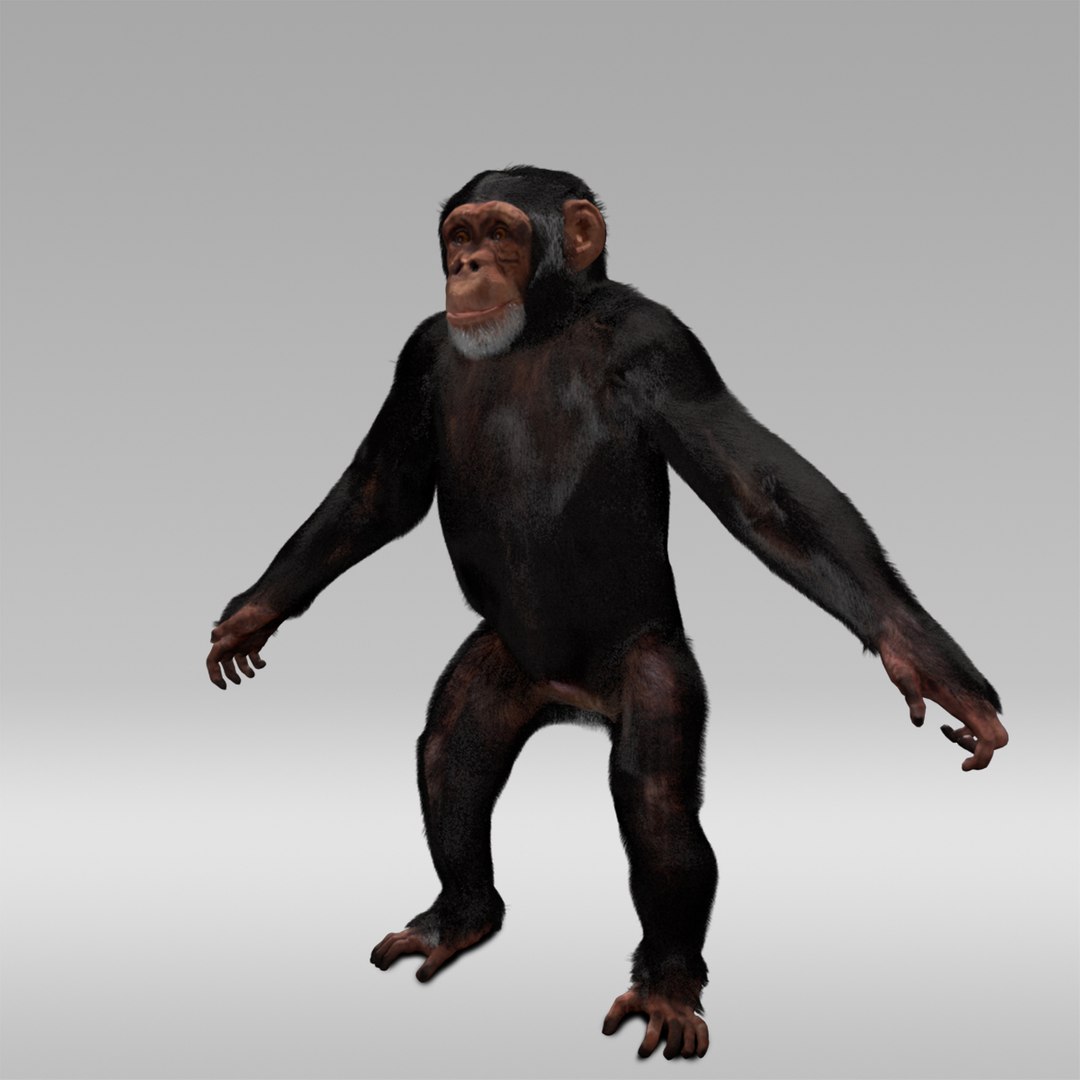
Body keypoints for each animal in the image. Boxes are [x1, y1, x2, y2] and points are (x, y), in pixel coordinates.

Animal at [206, 166, 1007, 1060]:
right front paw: (251, 616)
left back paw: (667, 987)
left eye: (501, 233)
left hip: (649, 665)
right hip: (503, 661)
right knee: (452, 754)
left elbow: (761, 496)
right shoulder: (418, 355)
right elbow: (383, 488)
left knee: (656, 805)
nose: (468, 264)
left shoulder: (662, 347)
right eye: (459, 233)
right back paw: (460, 917)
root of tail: (574, 703)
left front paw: (925, 661)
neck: (542, 328)